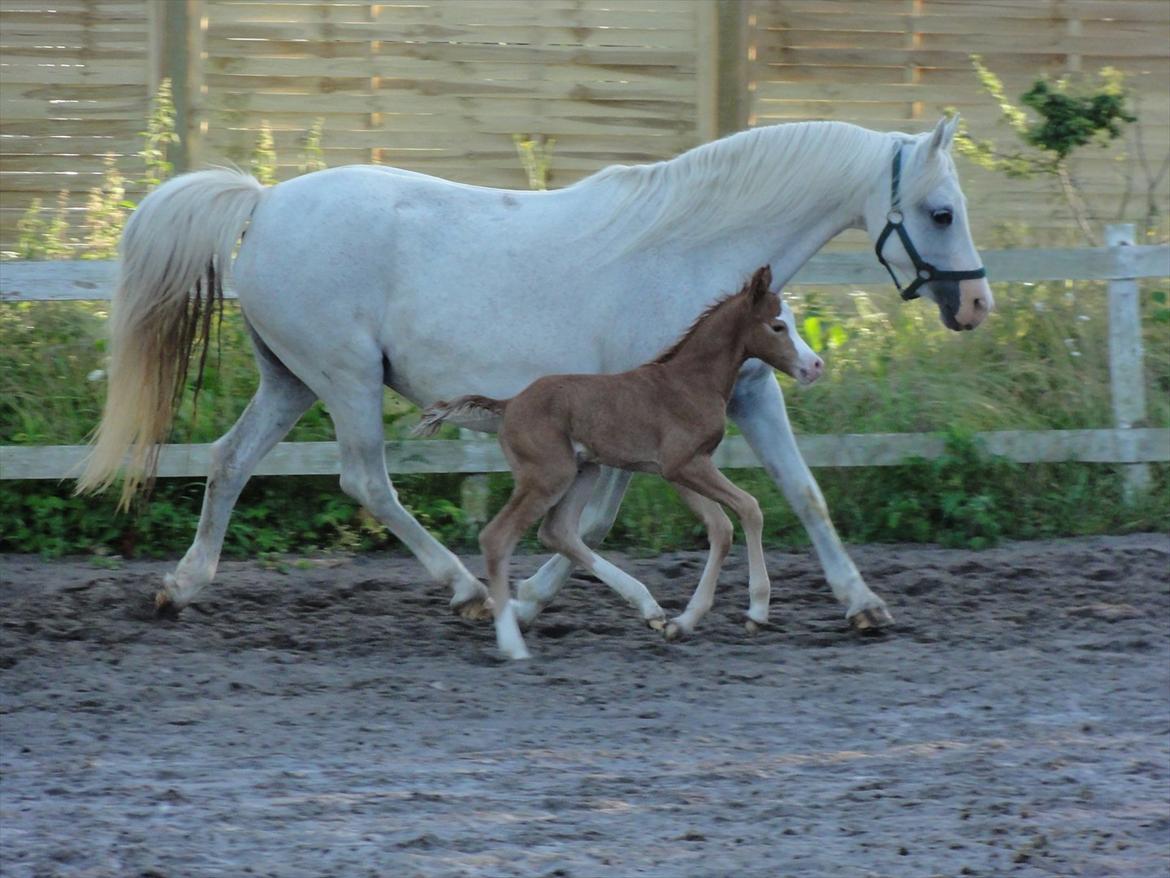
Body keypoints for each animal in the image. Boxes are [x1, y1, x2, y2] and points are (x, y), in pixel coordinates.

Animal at [416, 266, 822, 659]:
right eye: (777, 326)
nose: (816, 365)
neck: (691, 382)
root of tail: (509, 404)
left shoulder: (679, 470)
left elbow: (721, 529)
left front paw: (683, 623)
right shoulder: (685, 465)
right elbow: (749, 508)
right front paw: (756, 612)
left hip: (585, 470)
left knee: (557, 531)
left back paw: (649, 609)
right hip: (548, 476)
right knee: (497, 537)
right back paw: (513, 644)